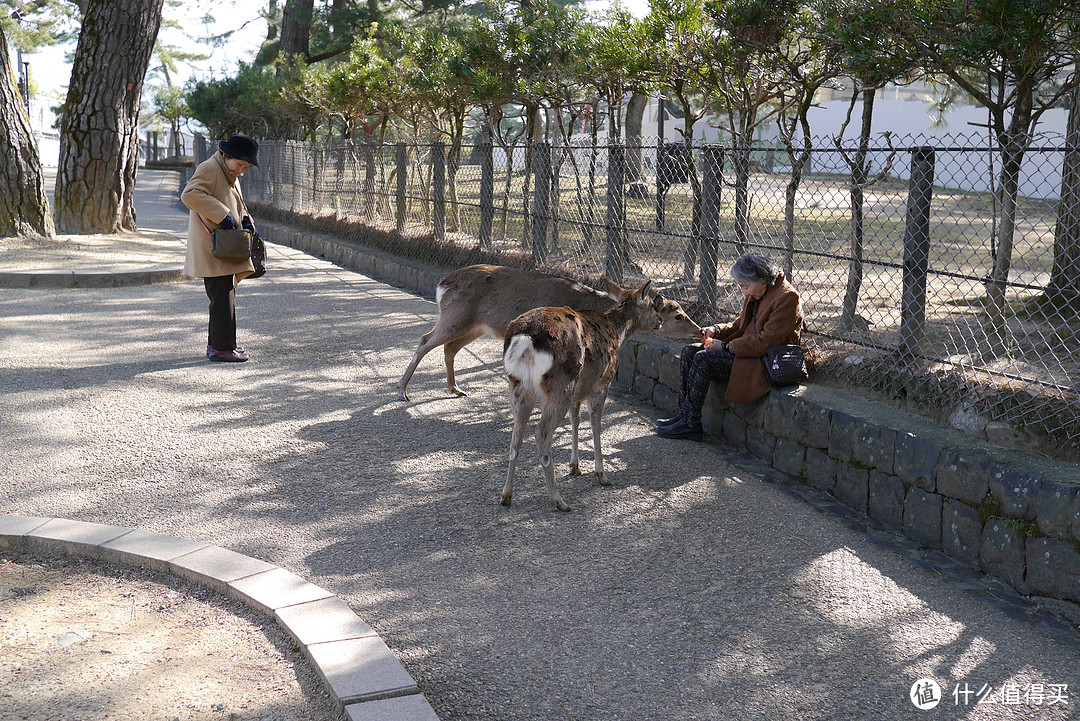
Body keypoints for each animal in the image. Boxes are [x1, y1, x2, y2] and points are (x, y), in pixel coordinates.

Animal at [397, 264, 622, 403]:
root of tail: (442, 284)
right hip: (456, 316)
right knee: (425, 340)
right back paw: (402, 391)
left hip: (475, 326)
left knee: (449, 347)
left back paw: (456, 389)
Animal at [498, 278, 699, 509]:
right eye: (653, 305)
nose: (658, 321)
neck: (618, 333)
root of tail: (524, 340)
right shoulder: (602, 383)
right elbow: (596, 426)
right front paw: (601, 474)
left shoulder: (579, 390)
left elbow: (575, 420)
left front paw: (575, 466)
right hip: (560, 384)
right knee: (541, 433)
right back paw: (558, 499)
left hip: (520, 386)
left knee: (516, 437)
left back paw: (506, 495)